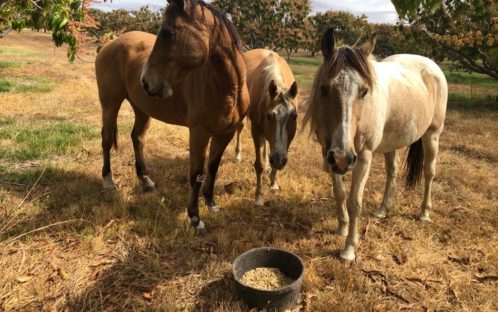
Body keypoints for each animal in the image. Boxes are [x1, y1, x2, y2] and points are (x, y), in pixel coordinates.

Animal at [95, 0, 249, 234]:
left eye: (168, 33)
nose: (146, 81)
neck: (229, 89)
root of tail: (110, 44)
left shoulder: (226, 133)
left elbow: (213, 167)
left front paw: (211, 203)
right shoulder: (199, 133)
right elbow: (196, 174)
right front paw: (195, 219)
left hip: (142, 109)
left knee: (137, 137)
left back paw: (145, 180)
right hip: (110, 104)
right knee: (105, 140)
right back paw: (108, 181)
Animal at [242, 48, 298, 206]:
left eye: (294, 116)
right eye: (269, 116)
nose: (278, 161)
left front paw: (273, 182)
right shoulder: (256, 129)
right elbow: (258, 165)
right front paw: (258, 198)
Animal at [304, 29, 448, 260]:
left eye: (364, 91)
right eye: (324, 89)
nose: (343, 158)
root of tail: (431, 65)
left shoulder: (363, 156)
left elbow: (355, 202)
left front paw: (349, 249)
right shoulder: (328, 152)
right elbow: (339, 193)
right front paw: (342, 227)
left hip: (432, 135)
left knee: (429, 172)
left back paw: (424, 213)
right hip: (391, 142)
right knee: (392, 172)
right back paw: (382, 210)